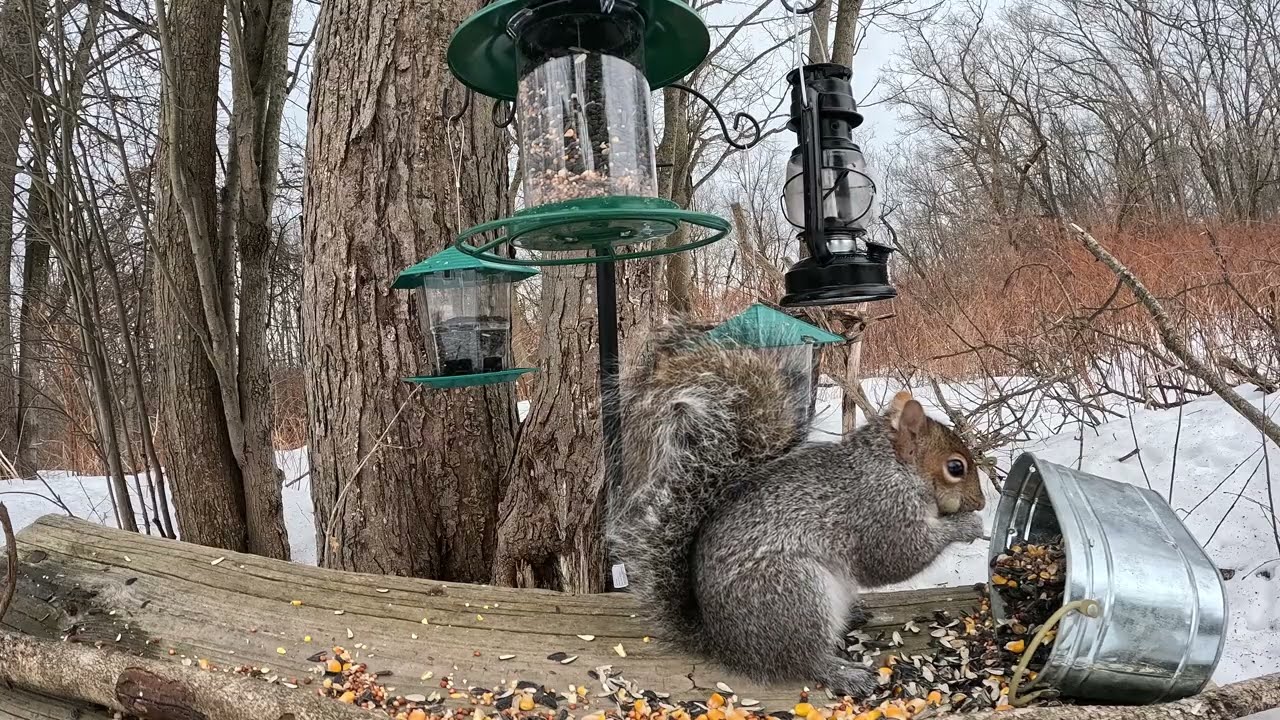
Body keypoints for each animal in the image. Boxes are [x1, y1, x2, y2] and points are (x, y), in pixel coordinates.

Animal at [605, 320, 986, 696]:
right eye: (955, 468)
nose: (981, 502)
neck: (893, 468)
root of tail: (725, 643)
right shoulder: (878, 509)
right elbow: (898, 556)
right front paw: (967, 526)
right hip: (794, 593)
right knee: (804, 659)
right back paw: (844, 674)